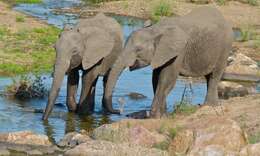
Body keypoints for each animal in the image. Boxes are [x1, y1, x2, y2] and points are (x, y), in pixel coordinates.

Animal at [103, 6, 234, 118]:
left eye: (138, 50)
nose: (119, 111)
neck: (155, 29)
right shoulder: (160, 54)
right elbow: (156, 79)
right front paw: (163, 115)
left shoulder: (179, 51)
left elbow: (167, 79)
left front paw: (154, 116)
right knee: (209, 76)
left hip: (225, 47)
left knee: (214, 76)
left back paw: (209, 106)